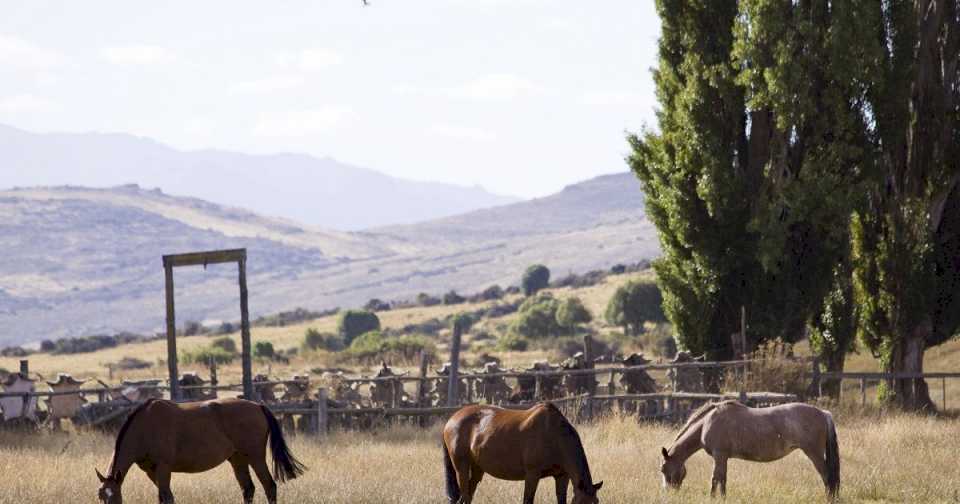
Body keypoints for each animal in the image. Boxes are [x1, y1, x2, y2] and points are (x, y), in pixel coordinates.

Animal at [94, 398, 304, 504]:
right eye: (101, 496)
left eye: (114, 497)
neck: (145, 426)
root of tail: (258, 406)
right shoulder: (151, 471)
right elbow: (166, 497)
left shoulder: (163, 468)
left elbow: (166, 498)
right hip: (238, 459)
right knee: (248, 489)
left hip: (255, 456)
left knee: (269, 486)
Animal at [440, 402, 600, 504]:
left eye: (596, 502)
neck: (553, 435)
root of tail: (451, 419)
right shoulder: (532, 476)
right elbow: (527, 501)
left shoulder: (562, 476)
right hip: (462, 468)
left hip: (477, 470)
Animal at [660, 400, 840, 498]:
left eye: (663, 470)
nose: (669, 492)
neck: (707, 422)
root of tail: (824, 413)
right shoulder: (722, 458)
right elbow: (721, 479)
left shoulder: (719, 456)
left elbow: (716, 479)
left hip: (814, 454)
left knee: (827, 478)